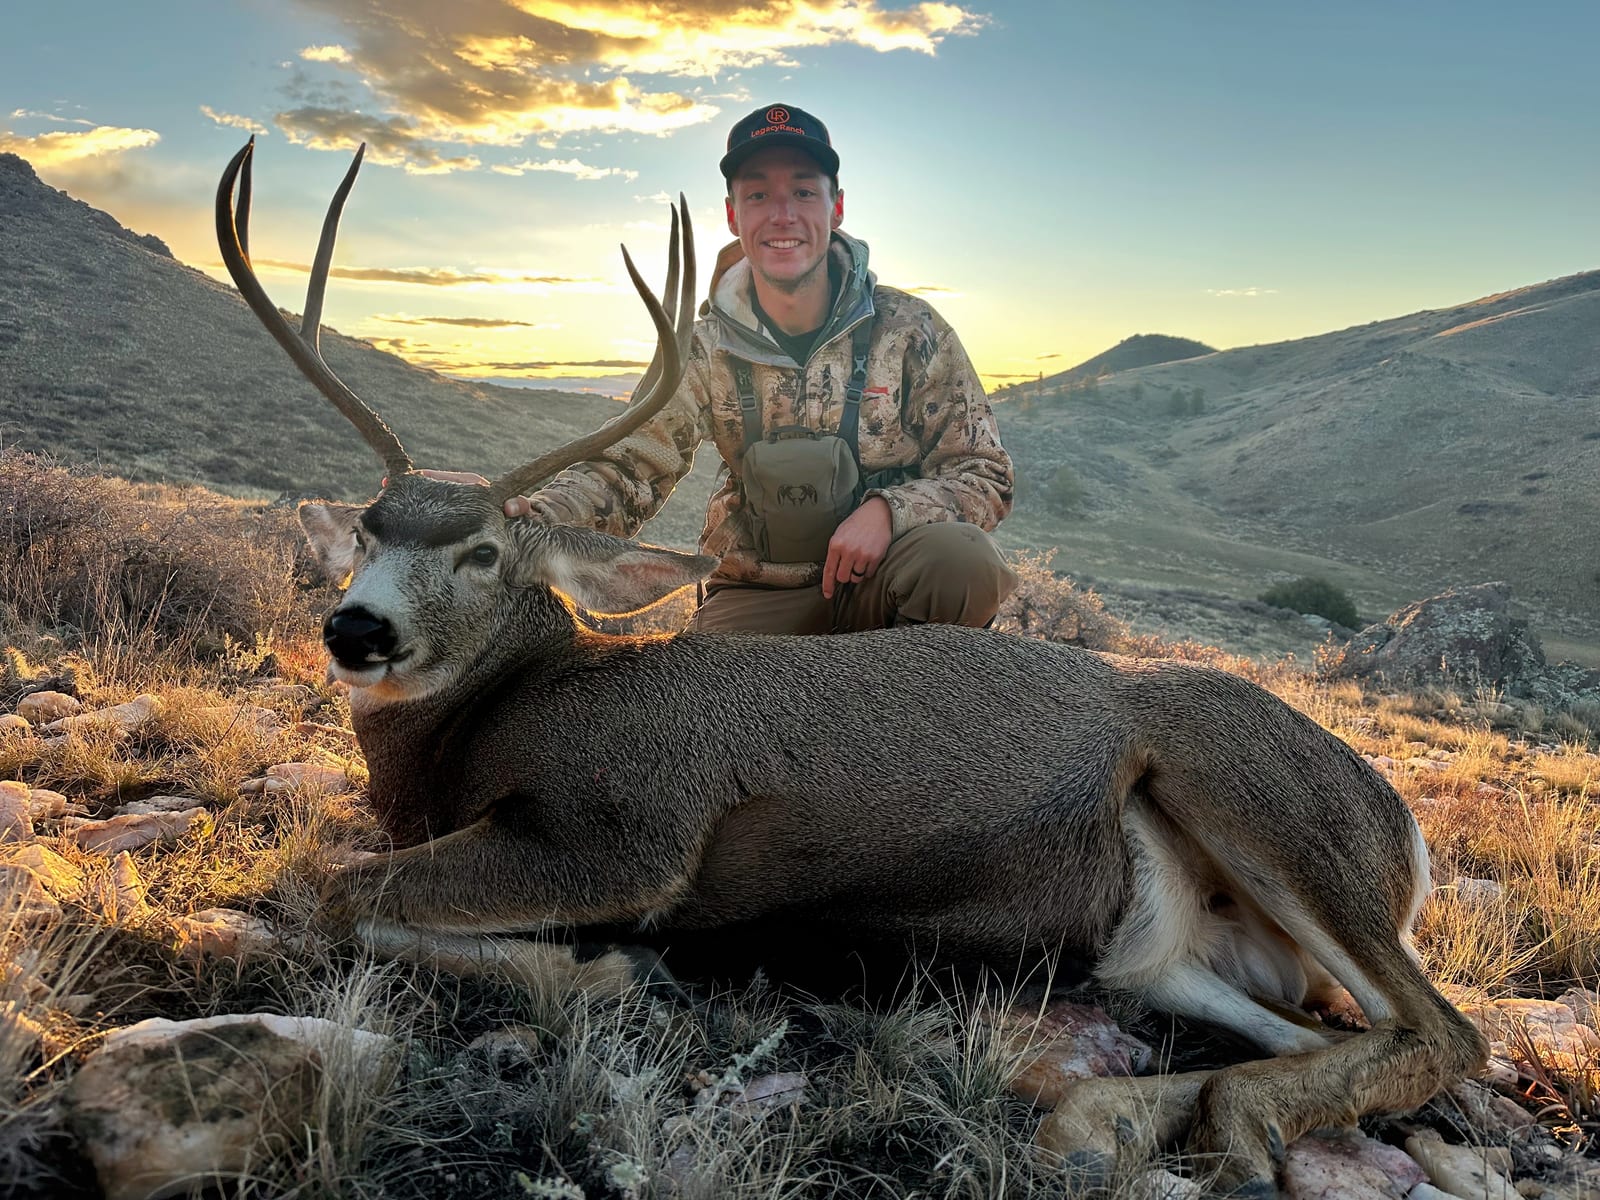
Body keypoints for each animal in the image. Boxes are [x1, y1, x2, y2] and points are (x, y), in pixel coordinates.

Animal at [216, 139, 1486, 1197]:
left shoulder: (624, 826)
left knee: (1447, 1032)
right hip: (1161, 953)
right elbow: (344, 884)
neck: (489, 723)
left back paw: (1148, 1123)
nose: (357, 631)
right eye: (369, 527)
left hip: (1248, 787)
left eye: (481, 551)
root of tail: (1406, 830)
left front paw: (610, 976)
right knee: (1338, 1034)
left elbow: (337, 886)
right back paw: (1108, 1119)